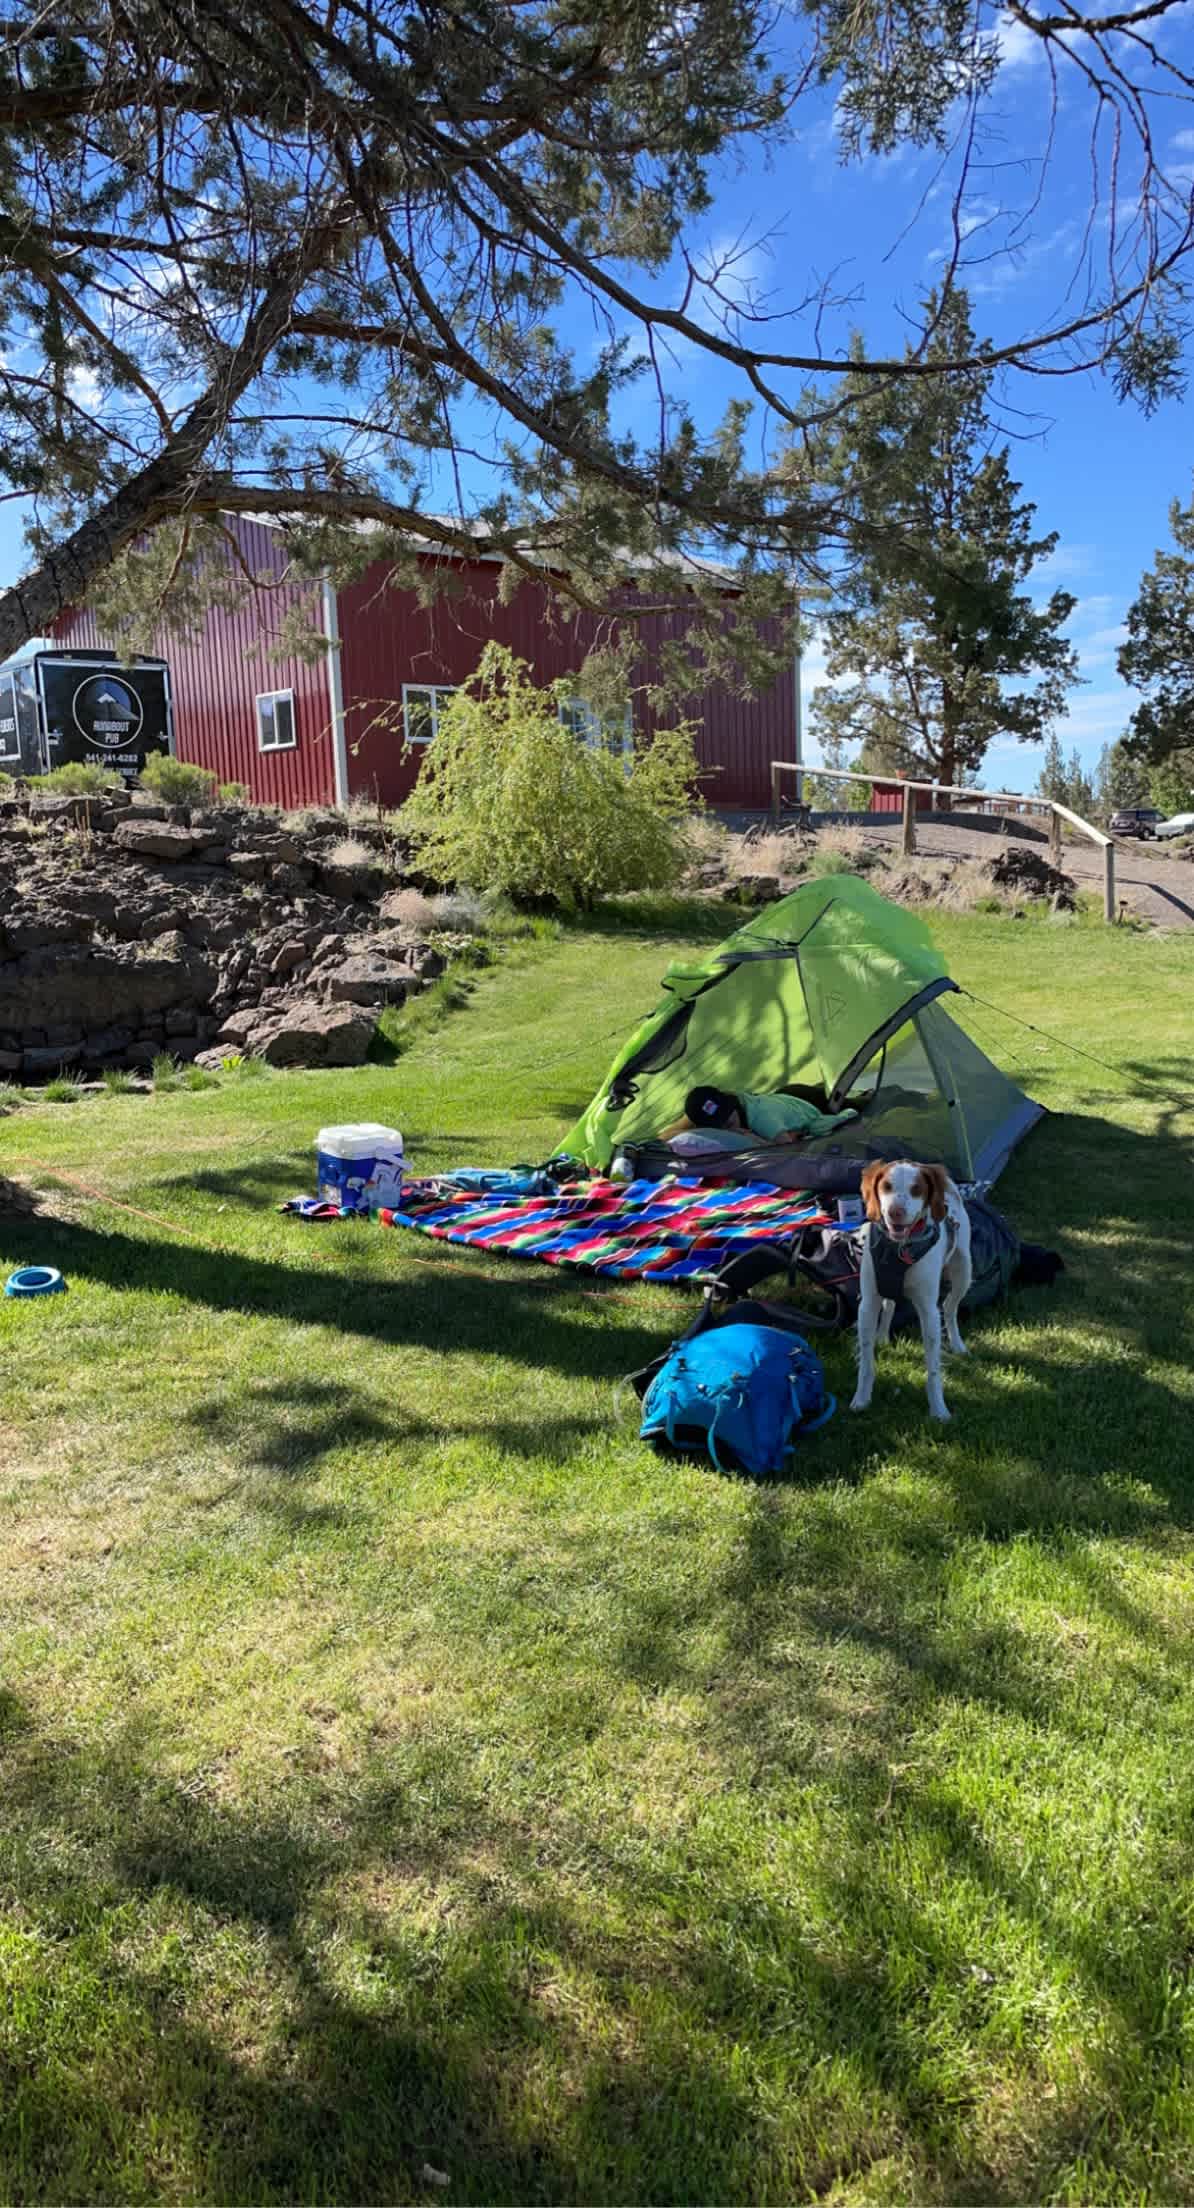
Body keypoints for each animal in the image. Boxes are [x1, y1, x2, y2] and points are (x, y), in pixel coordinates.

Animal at [847, 1165, 966, 1421]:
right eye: (886, 1186)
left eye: (917, 1189)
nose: (896, 1212)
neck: (898, 1247)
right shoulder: (867, 1305)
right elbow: (866, 1363)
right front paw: (861, 1399)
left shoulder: (929, 1312)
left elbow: (933, 1371)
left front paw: (938, 1409)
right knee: (890, 1305)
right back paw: (882, 1337)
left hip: (964, 1272)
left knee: (950, 1308)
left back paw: (957, 1344)